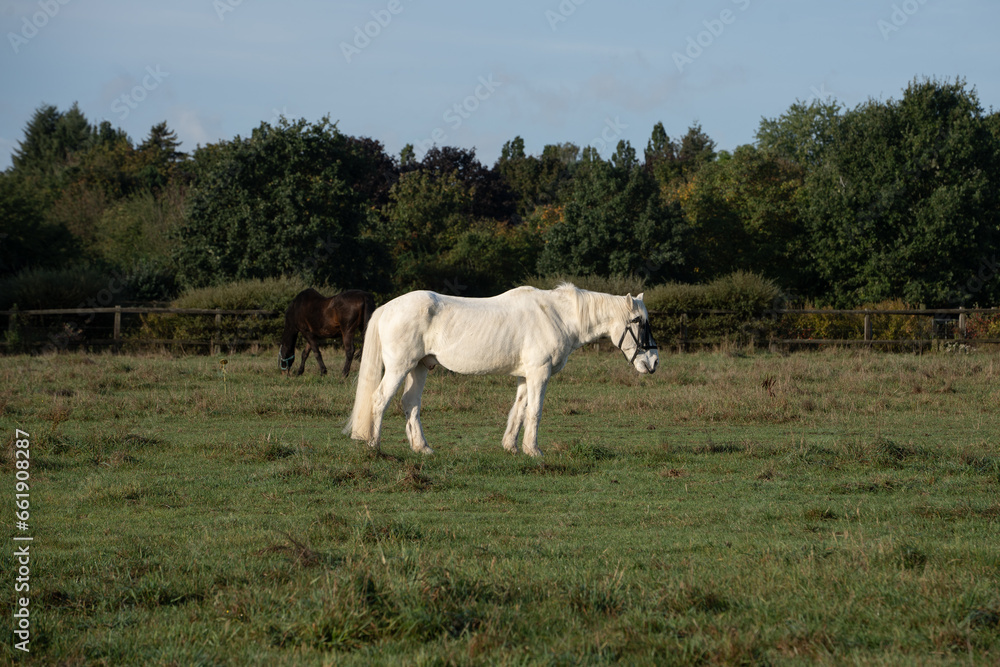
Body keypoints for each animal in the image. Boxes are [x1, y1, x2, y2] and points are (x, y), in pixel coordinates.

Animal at [343, 283, 658, 457]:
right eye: (637, 321)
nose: (653, 362)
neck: (557, 316)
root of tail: (387, 308)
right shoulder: (539, 373)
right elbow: (535, 411)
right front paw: (534, 450)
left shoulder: (526, 376)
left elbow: (518, 410)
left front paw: (511, 447)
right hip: (399, 367)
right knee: (379, 400)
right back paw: (374, 446)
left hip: (419, 368)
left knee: (410, 404)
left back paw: (422, 448)